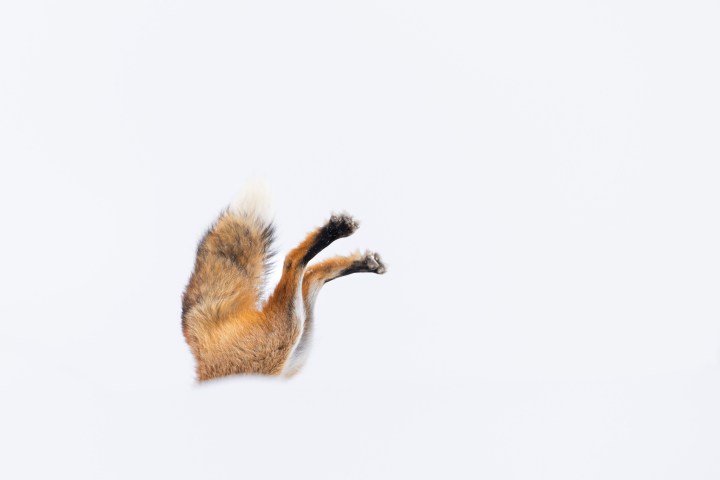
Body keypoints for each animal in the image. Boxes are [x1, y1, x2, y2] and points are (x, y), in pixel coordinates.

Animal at [181, 183, 386, 381]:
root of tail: (198, 351)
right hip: (286, 336)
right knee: (296, 263)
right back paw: (340, 236)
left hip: (290, 340)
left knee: (307, 270)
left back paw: (358, 256)